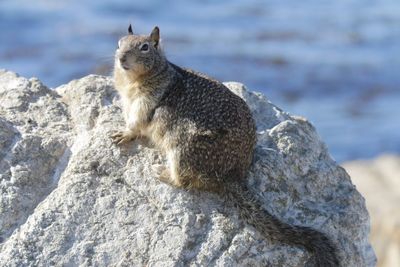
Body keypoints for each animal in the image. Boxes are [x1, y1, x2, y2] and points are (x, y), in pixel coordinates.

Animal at [111, 25, 340, 267]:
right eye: (119, 43)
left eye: (145, 47)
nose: (121, 58)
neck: (134, 81)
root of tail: (233, 174)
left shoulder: (145, 103)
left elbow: (136, 124)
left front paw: (123, 133)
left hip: (183, 147)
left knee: (185, 180)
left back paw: (162, 172)